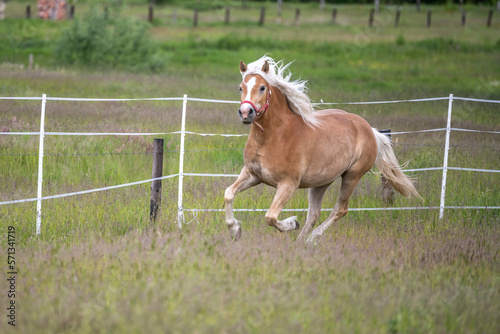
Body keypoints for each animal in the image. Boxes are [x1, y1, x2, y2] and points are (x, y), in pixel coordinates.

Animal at [225, 55, 420, 243]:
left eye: (262, 87)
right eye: (240, 87)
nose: (246, 112)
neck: (272, 138)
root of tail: (370, 130)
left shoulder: (288, 184)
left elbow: (270, 217)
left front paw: (292, 223)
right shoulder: (252, 174)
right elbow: (229, 194)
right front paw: (236, 230)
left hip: (352, 176)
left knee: (339, 209)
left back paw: (312, 238)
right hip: (321, 182)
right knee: (314, 214)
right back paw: (299, 243)